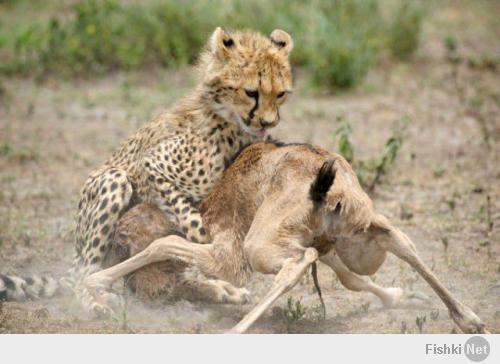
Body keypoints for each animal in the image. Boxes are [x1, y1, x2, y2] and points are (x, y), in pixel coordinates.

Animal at [0, 27, 294, 314]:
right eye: (251, 92)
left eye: (280, 93)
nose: (268, 122)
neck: (229, 122)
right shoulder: (154, 164)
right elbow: (195, 226)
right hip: (113, 182)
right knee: (85, 274)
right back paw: (95, 301)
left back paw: (218, 290)